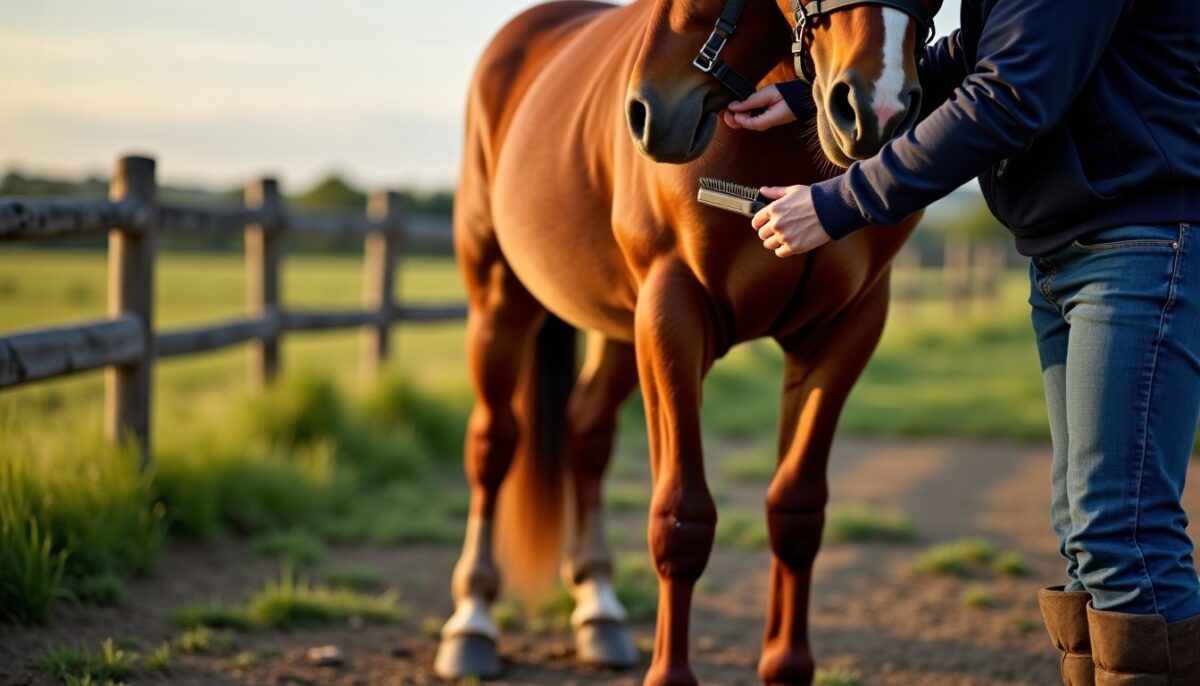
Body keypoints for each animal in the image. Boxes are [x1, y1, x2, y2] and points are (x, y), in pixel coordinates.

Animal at [436, 0, 941, 683]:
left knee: (586, 433)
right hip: (499, 303)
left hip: (620, 332)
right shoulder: (673, 312)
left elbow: (797, 511)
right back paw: (472, 623)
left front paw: (785, 664)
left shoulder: (845, 331)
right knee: (492, 445)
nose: (876, 109)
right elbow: (681, 517)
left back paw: (599, 612)